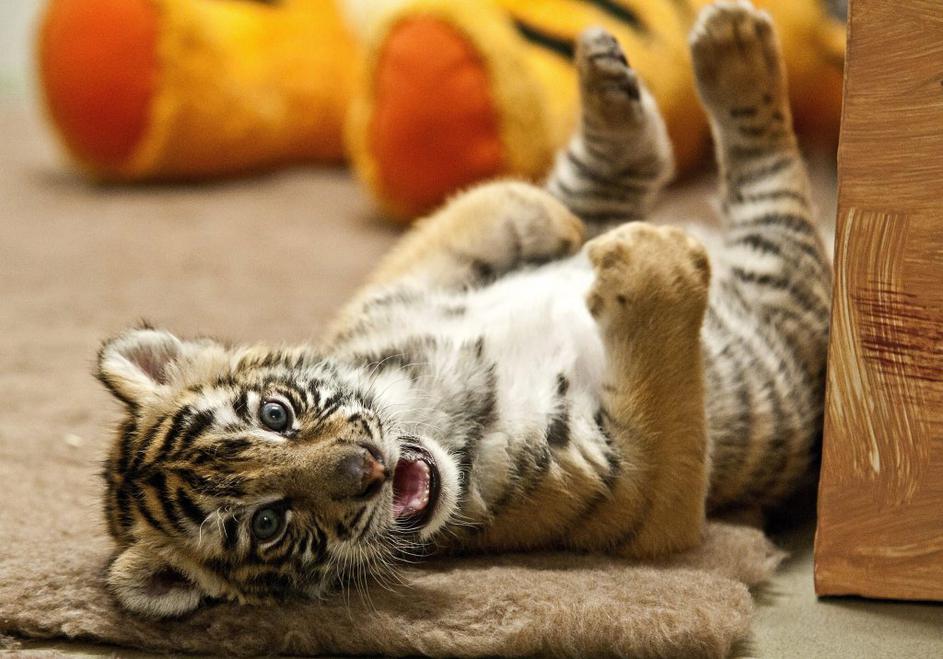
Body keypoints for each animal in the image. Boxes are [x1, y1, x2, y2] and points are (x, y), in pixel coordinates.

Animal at [96, 1, 831, 618]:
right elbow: (663, 391)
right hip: (786, 285)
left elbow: (490, 204)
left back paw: (614, 87)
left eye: (276, 414)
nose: (368, 467)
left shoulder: (396, 291)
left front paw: (568, 227)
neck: (426, 403)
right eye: (268, 522)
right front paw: (651, 255)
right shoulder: (644, 501)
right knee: (772, 175)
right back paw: (731, 45)